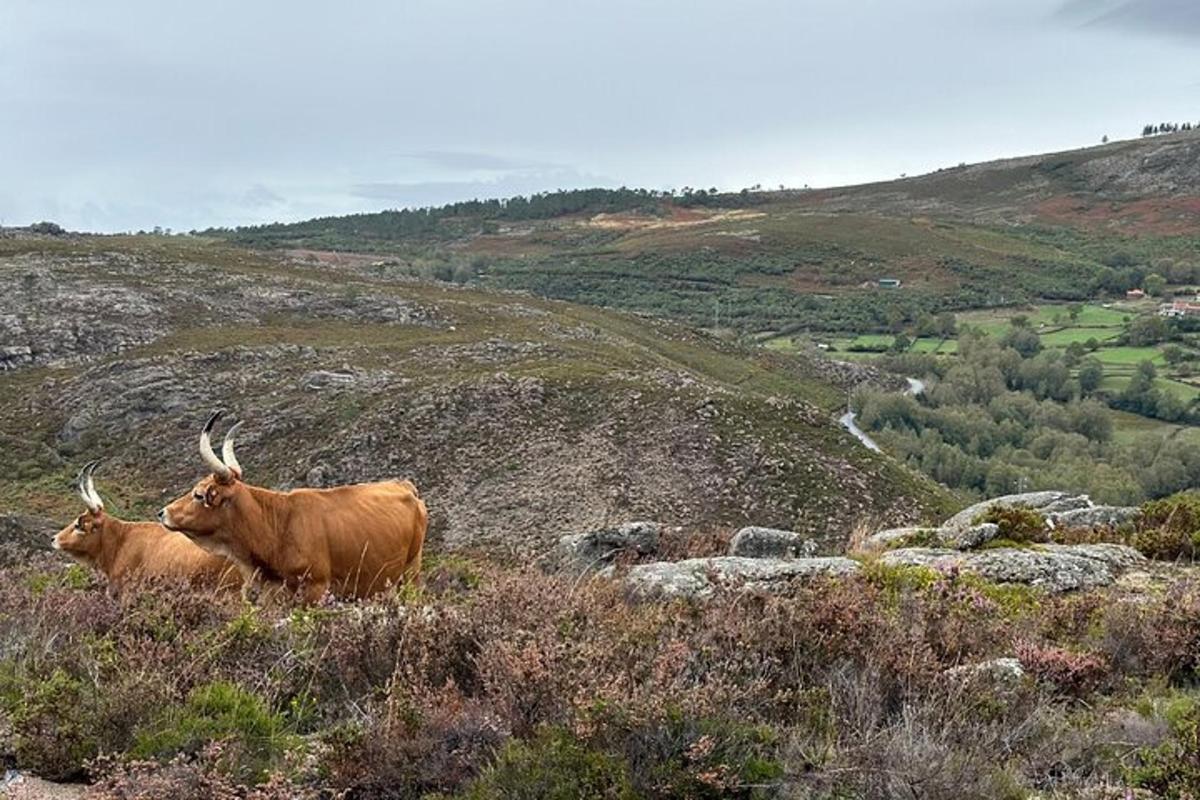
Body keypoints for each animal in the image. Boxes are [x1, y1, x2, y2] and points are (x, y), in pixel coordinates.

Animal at [157, 410, 424, 604]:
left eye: (198, 494)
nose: (163, 513)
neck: (279, 525)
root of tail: (404, 486)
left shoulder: (315, 590)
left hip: (411, 572)